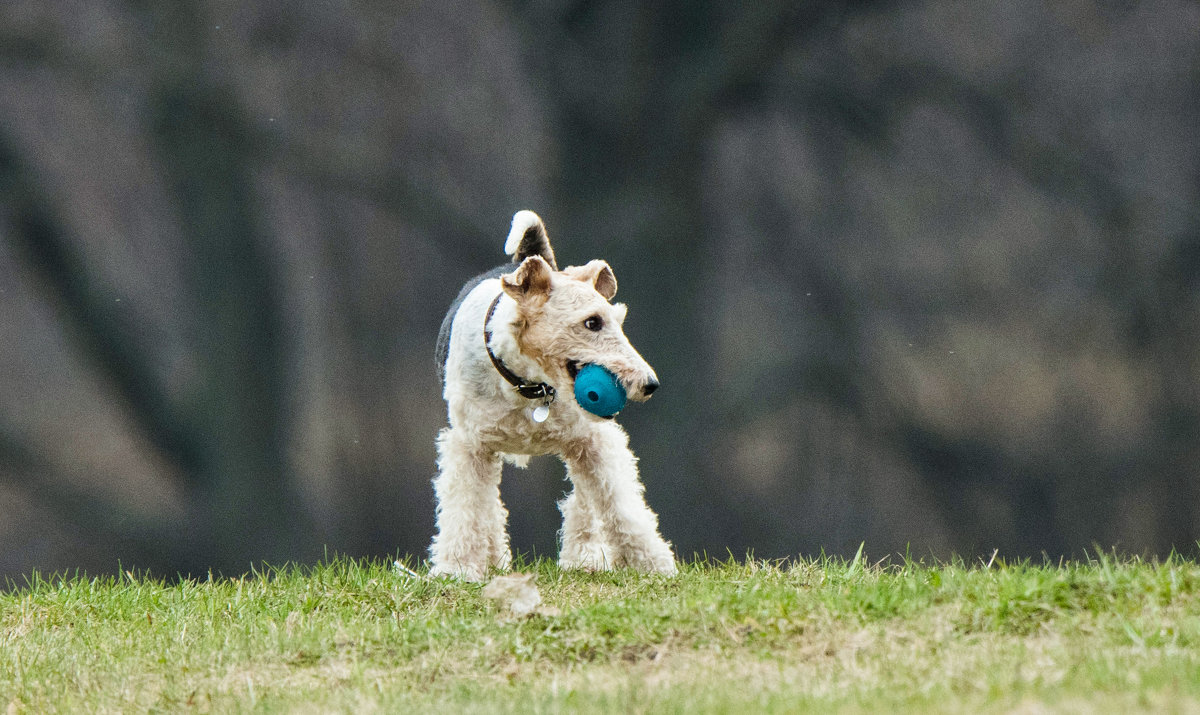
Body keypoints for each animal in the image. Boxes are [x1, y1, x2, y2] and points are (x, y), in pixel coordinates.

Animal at [429, 209, 676, 578]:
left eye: (617, 320)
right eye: (592, 322)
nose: (649, 383)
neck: (528, 387)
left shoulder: (593, 441)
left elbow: (622, 505)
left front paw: (653, 564)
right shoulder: (469, 445)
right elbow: (466, 508)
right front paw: (457, 569)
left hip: (583, 445)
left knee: (586, 500)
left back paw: (584, 557)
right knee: (490, 509)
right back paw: (494, 559)